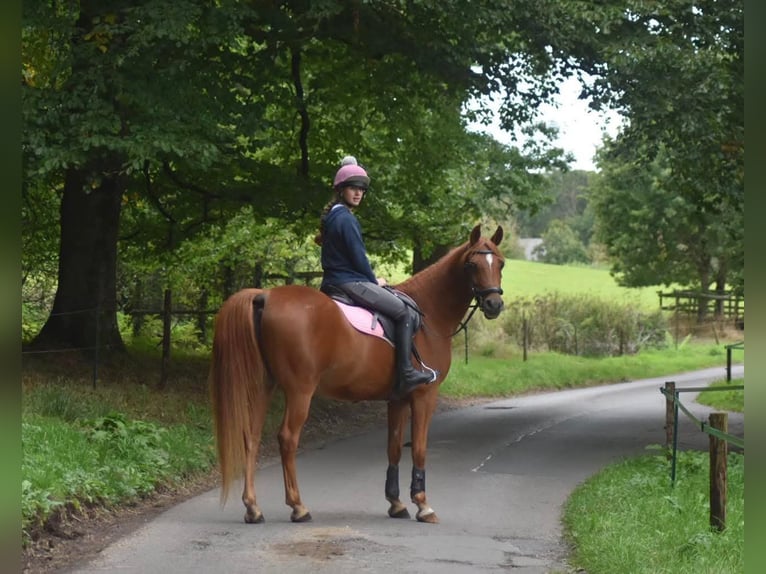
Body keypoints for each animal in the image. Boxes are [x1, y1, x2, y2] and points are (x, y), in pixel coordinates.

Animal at [209, 224, 505, 524]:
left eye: (501, 263)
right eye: (471, 265)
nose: (494, 304)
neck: (428, 313)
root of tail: (265, 295)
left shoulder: (397, 399)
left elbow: (394, 447)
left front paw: (396, 503)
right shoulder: (424, 396)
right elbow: (419, 449)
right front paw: (423, 505)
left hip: (263, 386)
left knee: (251, 437)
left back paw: (253, 507)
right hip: (300, 391)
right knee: (287, 438)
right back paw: (298, 506)